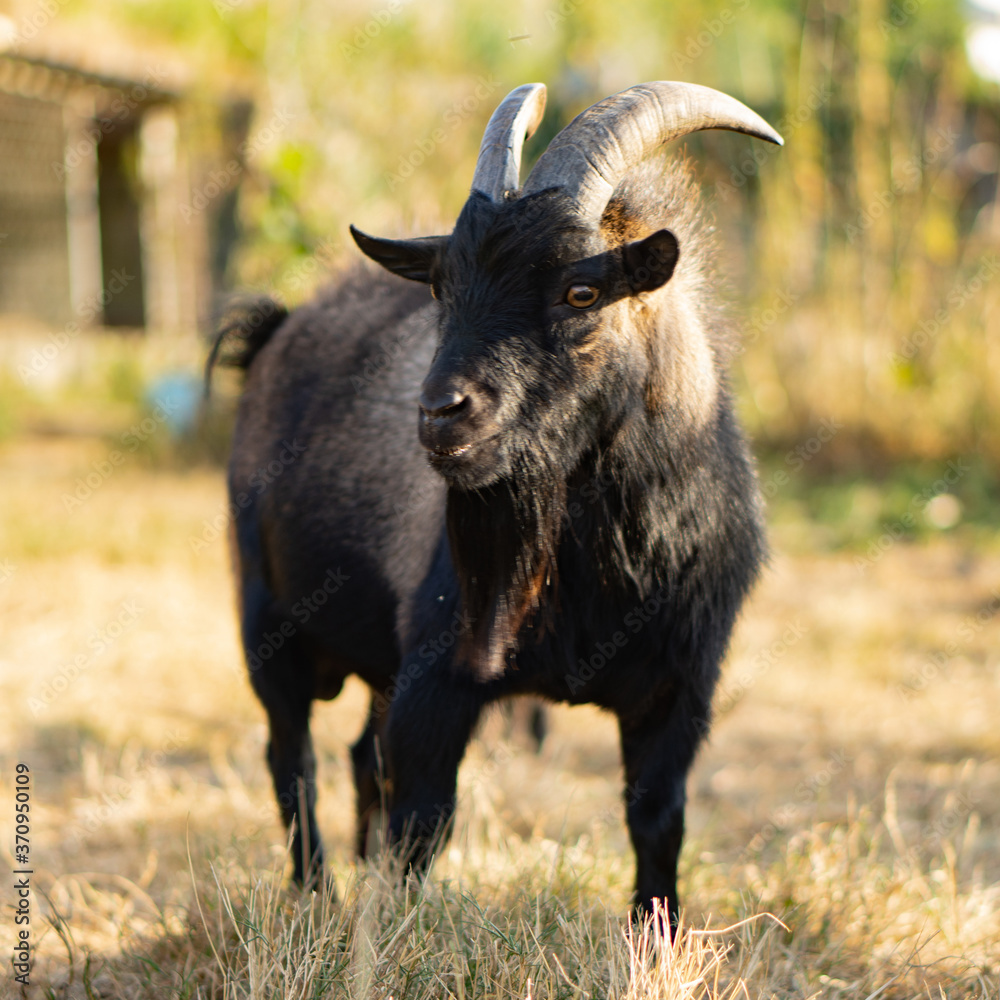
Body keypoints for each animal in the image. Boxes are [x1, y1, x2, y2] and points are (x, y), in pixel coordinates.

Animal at [212, 80, 782, 927]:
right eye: (443, 287)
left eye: (582, 290)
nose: (440, 412)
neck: (603, 568)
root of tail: (275, 332)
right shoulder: (438, 675)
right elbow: (422, 822)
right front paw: (394, 934)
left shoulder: (680, 689)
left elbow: (657, 819)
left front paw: (657, 937)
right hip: (265, 618)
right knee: (293, 756)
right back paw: (317, 894)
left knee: (352, 754)